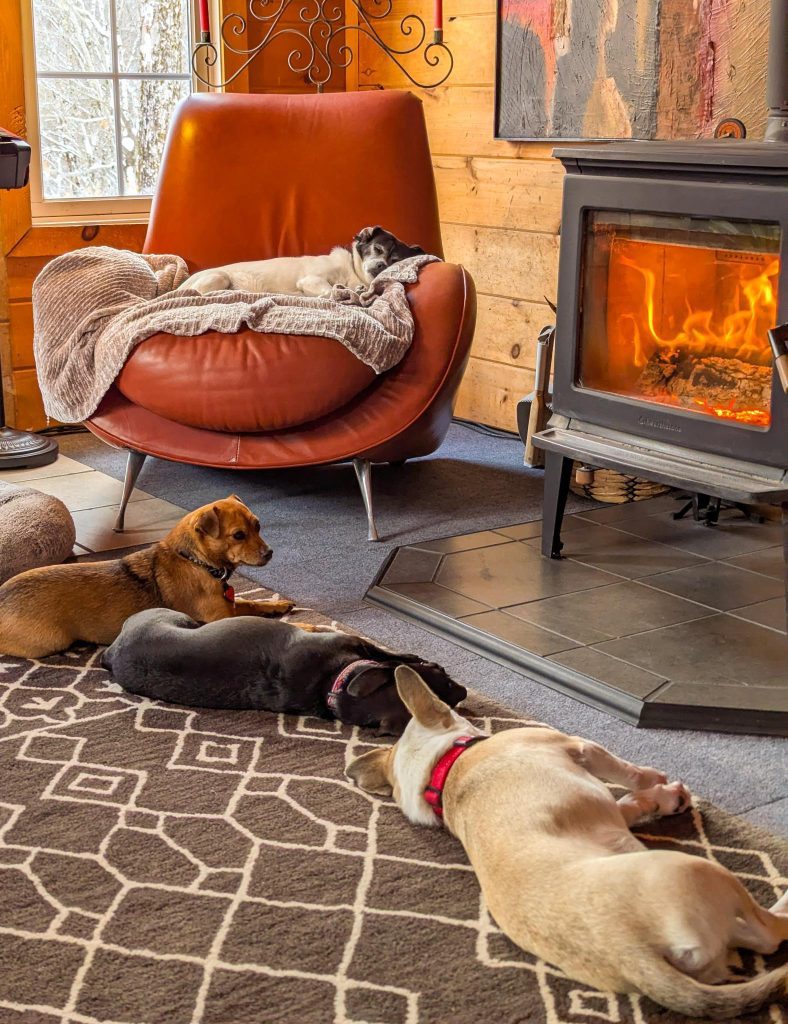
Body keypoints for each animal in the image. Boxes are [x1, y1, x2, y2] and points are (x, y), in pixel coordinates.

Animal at [0, 493, 294, 655]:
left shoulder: (230, 605)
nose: (269, 553)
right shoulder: (221, 618)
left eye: (258, 526)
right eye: (238, 535)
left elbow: (252, 602)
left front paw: (279, 604)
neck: (196, 561)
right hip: (50, 642)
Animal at [100, 602, 462, 733]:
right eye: (440, 672)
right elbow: (389, 653)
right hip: (173, 615)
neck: (329, 684)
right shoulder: (352, 642)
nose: (462, 693)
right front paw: (408, 656)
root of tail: (112, 653)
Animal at [178, 226, 423, 299]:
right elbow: (329, 289)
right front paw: (340, 291)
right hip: (218, 278)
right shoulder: (311, 280)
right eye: (378, 250)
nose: (381, 265)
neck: (352, 273)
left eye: (393, 261)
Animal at [347, 667, 785, 1019]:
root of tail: (632, 955)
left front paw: (663, 800)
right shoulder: (580, 746)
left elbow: (629, 803)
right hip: (703, 870)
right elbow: (627, 772)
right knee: (770, 933)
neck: (445, 767)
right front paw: (658, 781)